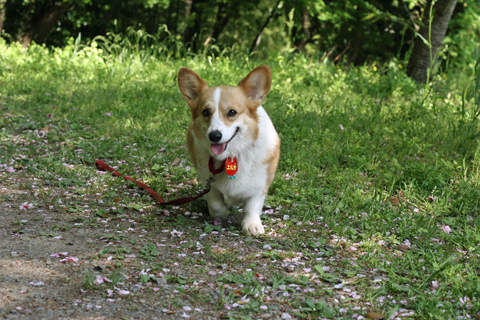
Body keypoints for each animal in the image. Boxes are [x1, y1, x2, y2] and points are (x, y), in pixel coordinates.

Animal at [178, 65, 280, 235]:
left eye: (232, 112)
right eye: (206, 112)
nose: (214, 136)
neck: (232, 155)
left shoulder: (261, 182)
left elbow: (253, 205)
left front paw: (252, 224)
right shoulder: (207, 179)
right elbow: (216, 204)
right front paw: (222, 213)